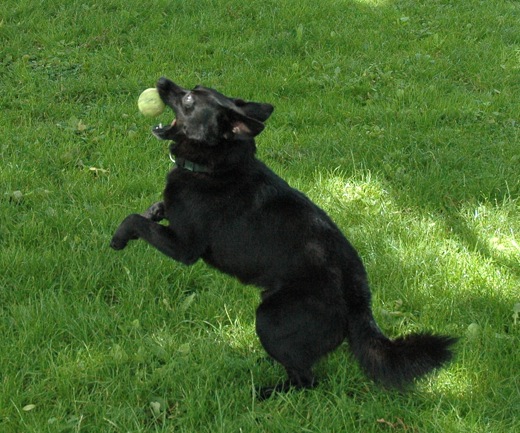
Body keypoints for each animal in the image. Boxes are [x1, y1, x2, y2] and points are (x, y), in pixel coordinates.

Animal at [110, 77, 456, 398]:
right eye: (191, 88)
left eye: (189, 100)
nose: (162, 82)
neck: (217, 166)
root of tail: (360, 298)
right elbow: (153, 211)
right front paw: (153, 212)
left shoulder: (184, 248)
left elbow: (136, 221)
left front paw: (119, 238)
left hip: (270, 317)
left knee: (306, 379)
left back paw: (266, 392)